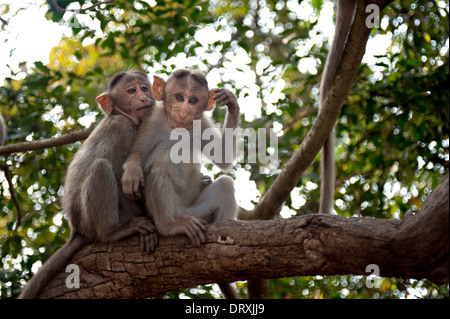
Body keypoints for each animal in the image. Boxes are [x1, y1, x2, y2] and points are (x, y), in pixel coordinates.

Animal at [19, 70, 160, 300]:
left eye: (144, 88)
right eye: (131, 90)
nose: (143, 97)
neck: (121, 115)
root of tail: (76, 229)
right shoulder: (121, 129)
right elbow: (120, 175)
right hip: (88, 219)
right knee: (101, 167)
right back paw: (112, 231)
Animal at [119, 69, 239, 298]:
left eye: (193, 101)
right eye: (179, 97)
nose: (184, 111)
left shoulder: (202, 123)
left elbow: (223, 158)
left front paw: (232, 103)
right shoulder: (152, 120)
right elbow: (137, 153)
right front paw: (131, 174)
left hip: (196, 212)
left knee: (225, 185)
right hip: (172, 209)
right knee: (157, 170)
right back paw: (169, 226)